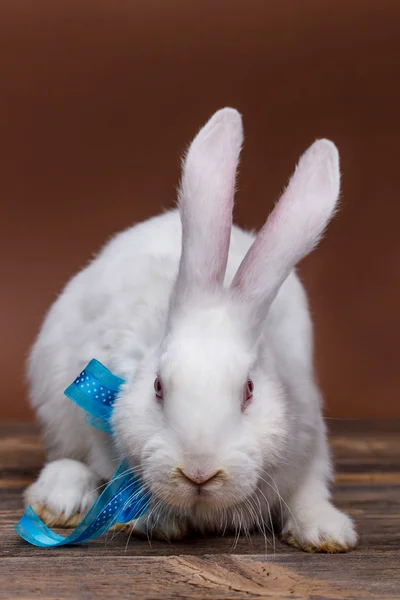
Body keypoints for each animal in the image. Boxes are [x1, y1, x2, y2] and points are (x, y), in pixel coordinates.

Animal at [25, 109, 356, 552]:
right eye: (158, 387)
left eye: (249, 391)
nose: (198, 471)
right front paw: (157, 522)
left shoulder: (308, 436)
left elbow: (309, 490)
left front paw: (326, 532)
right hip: (54, 391)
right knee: (66, 456)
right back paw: (61, 499)